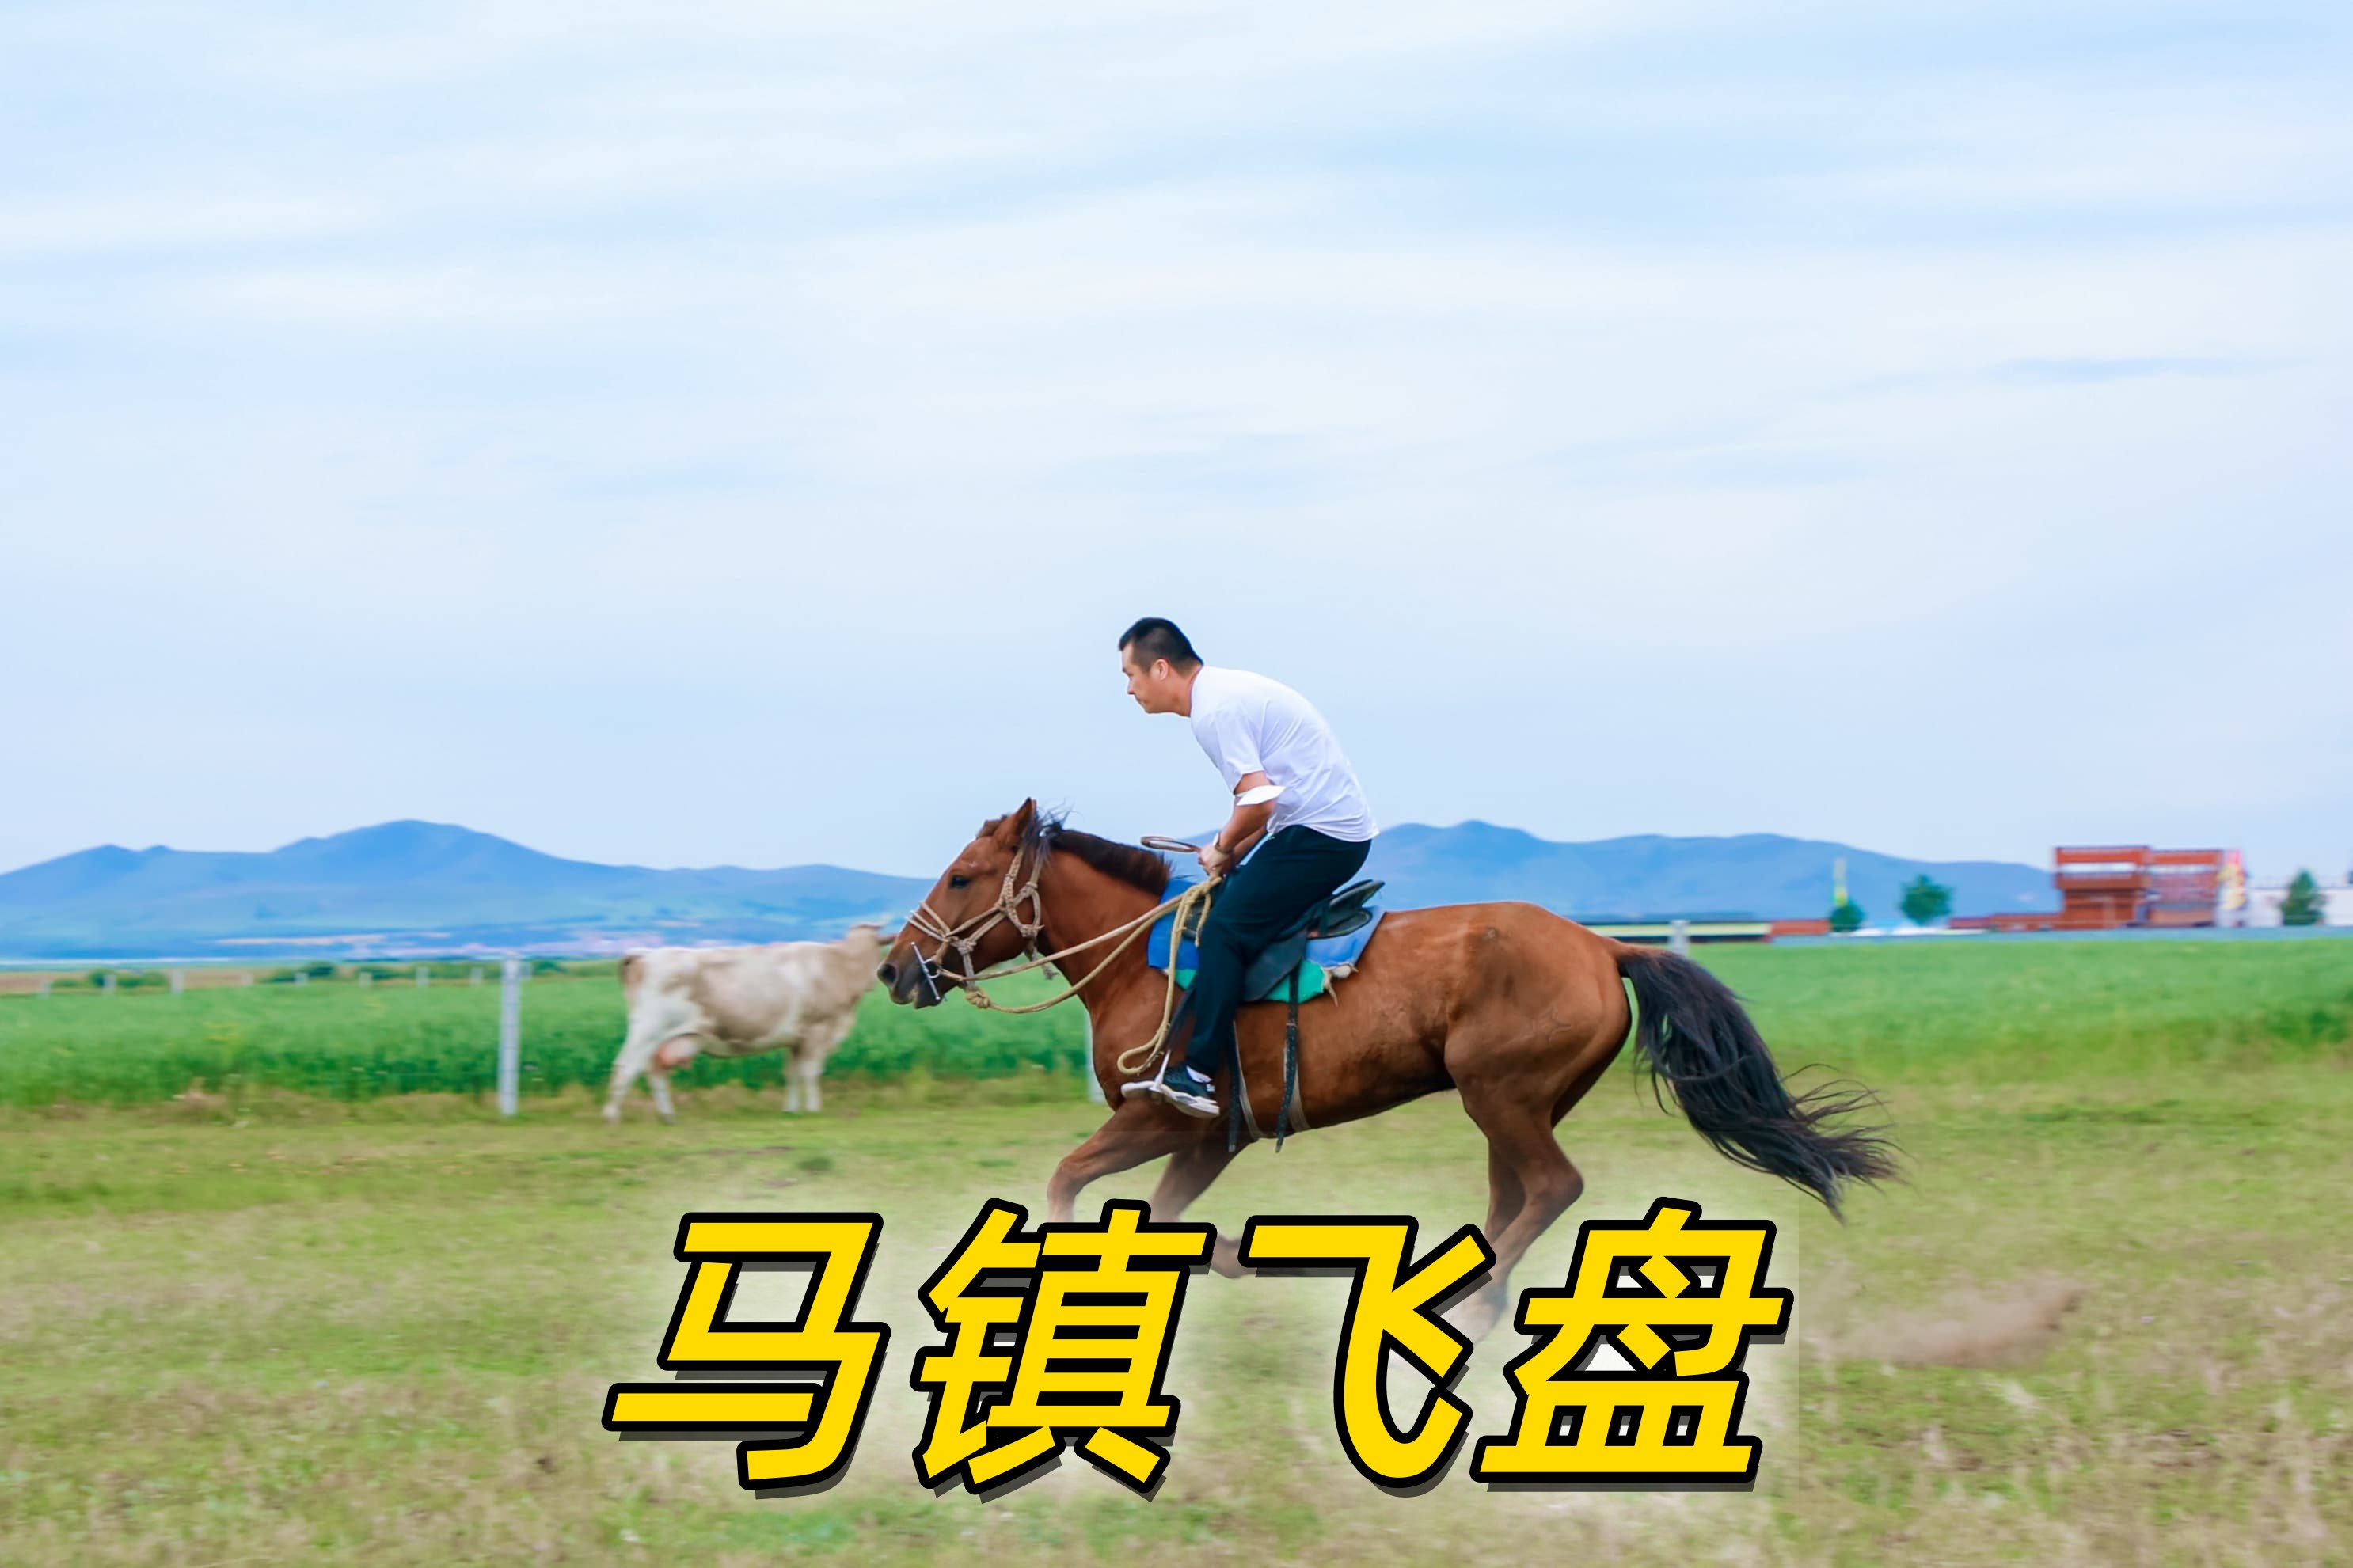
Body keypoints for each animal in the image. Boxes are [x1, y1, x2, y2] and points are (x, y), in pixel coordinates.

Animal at [878, 799, 1895, 1339]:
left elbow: (1064, 1183)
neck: (1142, 961)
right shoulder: (1213, 1138)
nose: (895, 969)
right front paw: (1230, 1258)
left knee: (1551, 1189)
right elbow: (1165, 1221)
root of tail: (1604, 946)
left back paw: (1470, 1310)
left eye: (962, 876)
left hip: (1502, 1096)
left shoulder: (1164, 1114)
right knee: (1513, 1199)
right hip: (1514, 1106)